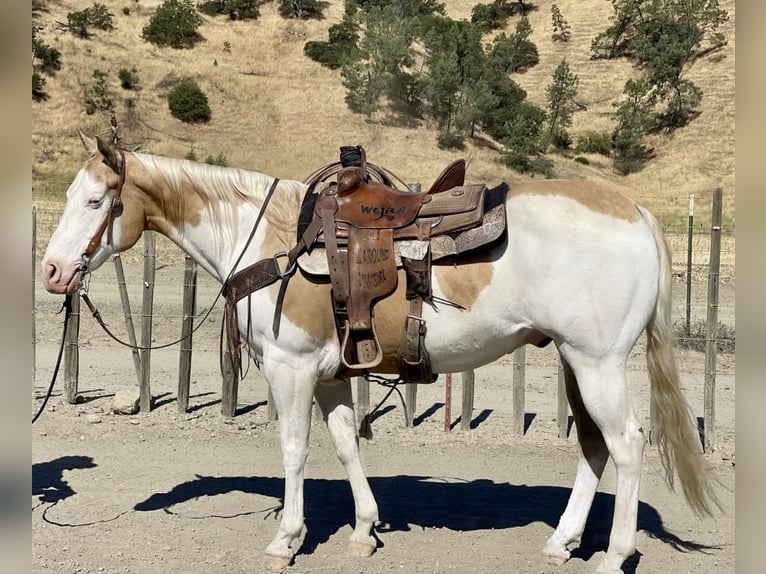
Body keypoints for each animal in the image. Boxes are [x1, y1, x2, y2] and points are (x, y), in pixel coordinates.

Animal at [40, 133, 719, 573]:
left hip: (597, 362)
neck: (268, 237)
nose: (51, 272)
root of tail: (636, 213)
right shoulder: (331, 372)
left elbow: (294, 450)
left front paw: (287, 539)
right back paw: (562, 543)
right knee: (595, 447)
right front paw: (365, 531)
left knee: (627, 444)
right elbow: (345, 443)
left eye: (96, 202)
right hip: (574, 361)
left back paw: (613, 556)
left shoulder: (290, 367)